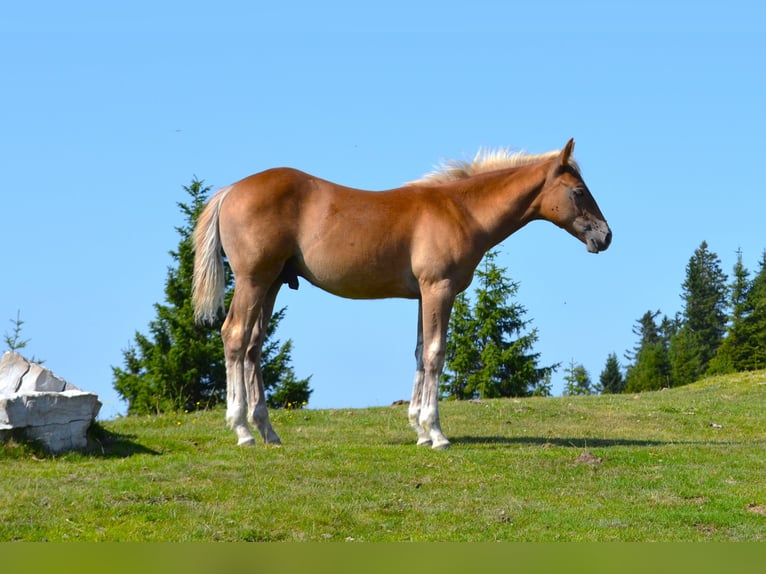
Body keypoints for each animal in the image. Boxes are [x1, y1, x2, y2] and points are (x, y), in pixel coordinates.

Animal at [193, 139, 611, 449]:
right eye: (578, 191)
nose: (605, 236)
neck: (462, 211)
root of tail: (229, 192)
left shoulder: (424, 296)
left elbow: (419, 352)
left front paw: (419, 430)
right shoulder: (440, 288)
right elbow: (436, 353)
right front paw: (436, 432)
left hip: (273, 284)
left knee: (253, 346)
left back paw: (267, 431)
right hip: (253, 280)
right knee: (234, 336)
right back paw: (242, 430)